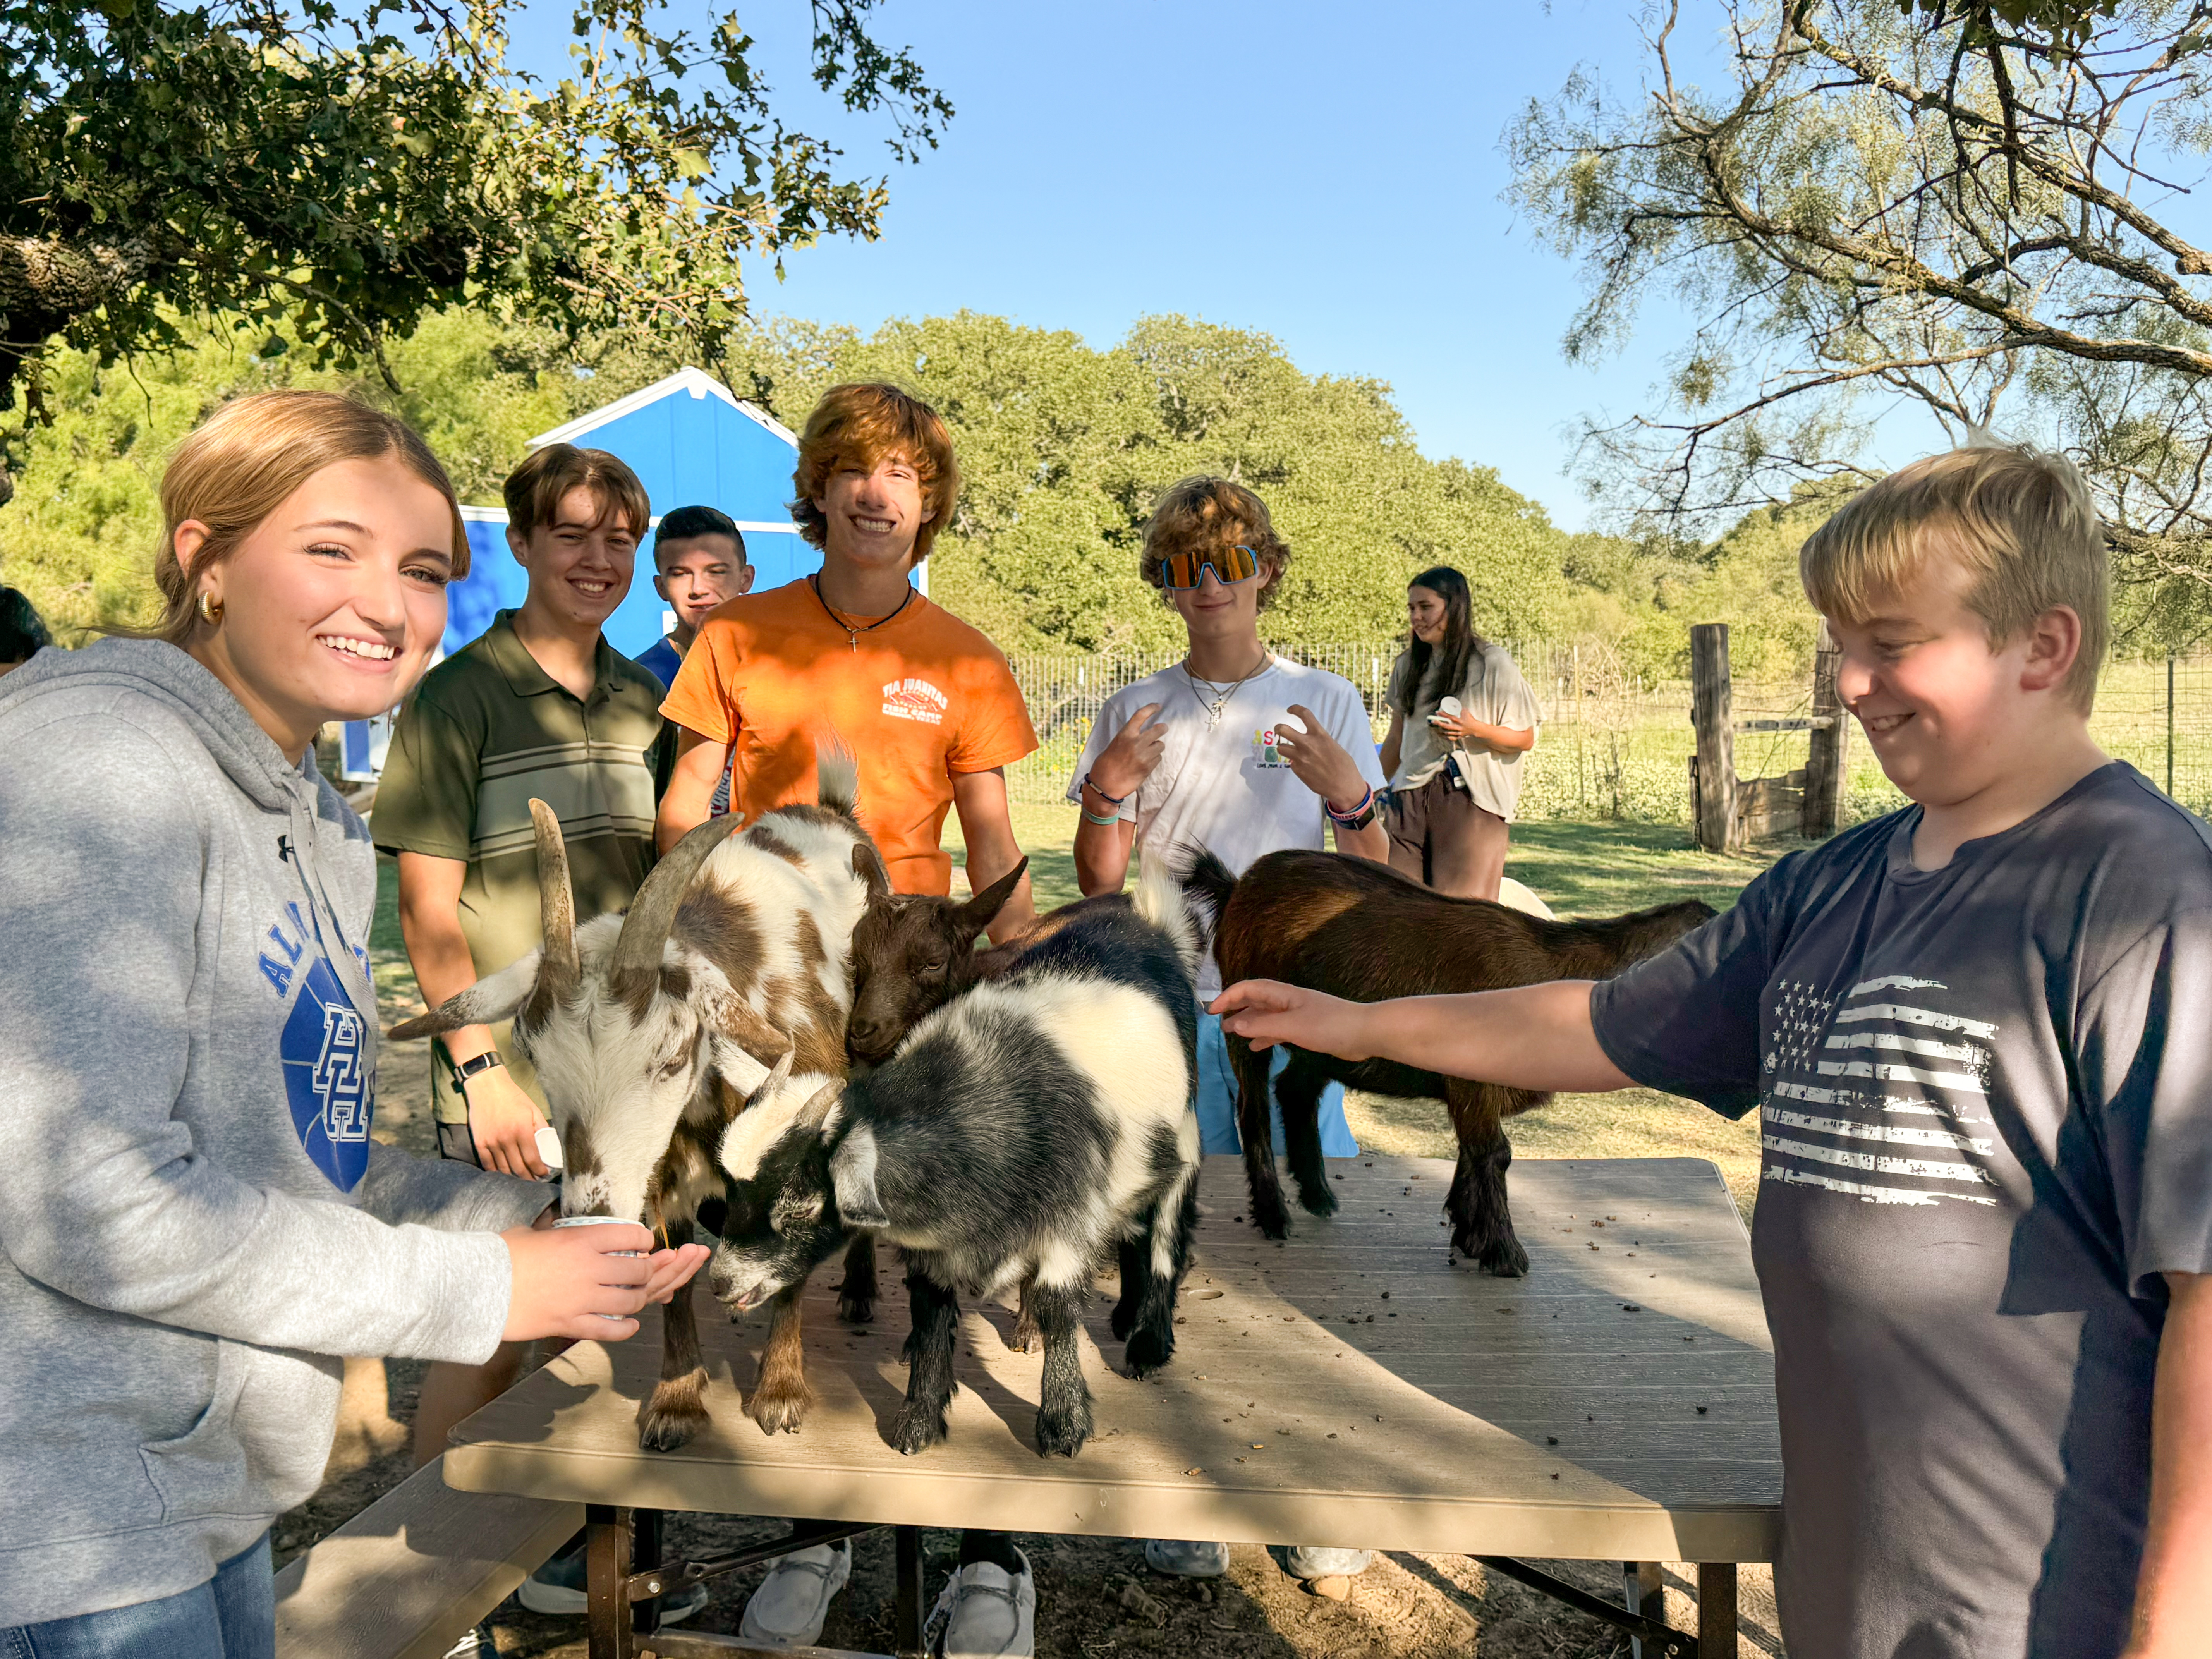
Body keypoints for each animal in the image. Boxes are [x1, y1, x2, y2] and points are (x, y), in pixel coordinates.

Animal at [393, 761, 884, 1451]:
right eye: (531, 1051)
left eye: (674, 1056)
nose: (591, 1213)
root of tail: (830, 808)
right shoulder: (662, 1172)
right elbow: (675, 1273)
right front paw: (676, 1400)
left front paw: (780, 1393)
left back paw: (861, 1291)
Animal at [708, 862, 1203, 1460]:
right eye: (732, 1191)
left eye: (801, 1208)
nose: (720, 1282)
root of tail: (1149, 919)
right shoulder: (933, 1247)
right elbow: (930, 1314)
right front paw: (918, 1422)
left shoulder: (1071, 1218)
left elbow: (1058, 1305)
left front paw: (1063, 1426)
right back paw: (1126, 1316)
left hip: (1184, 1129)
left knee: (1167, 1228)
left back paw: (1148, 1340)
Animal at [1185, 849, 1716, 1283]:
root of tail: (1237, 886)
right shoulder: (1474, 1084)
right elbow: (1494, 1153)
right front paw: (1504, 1253)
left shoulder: (1471, 1088)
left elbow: (1471, 1152)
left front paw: (1470, 1235)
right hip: (1244, 1020)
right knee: (1253, 1110)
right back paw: (1275, 1216)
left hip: (1318, 1040)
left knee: (1295, 1091)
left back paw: (1318, 1195)